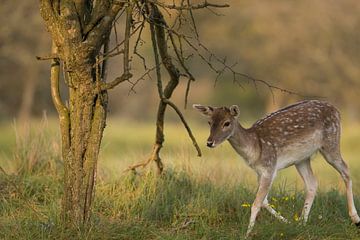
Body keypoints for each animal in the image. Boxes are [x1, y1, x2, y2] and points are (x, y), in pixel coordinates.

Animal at [194, 100, 360, 236]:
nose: (209, 142)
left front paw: (247, 234)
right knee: (312, 183)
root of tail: (337, 111)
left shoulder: (270, 167)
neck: (255, 149)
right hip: (302, 159)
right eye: (209, 122)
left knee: (346, 170)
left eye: (227, 123)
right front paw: (288, 222)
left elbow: (256, 204)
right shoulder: (260, 171)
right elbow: (264, 201)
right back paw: (301, 222)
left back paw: (355, 218)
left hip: (331, 143)